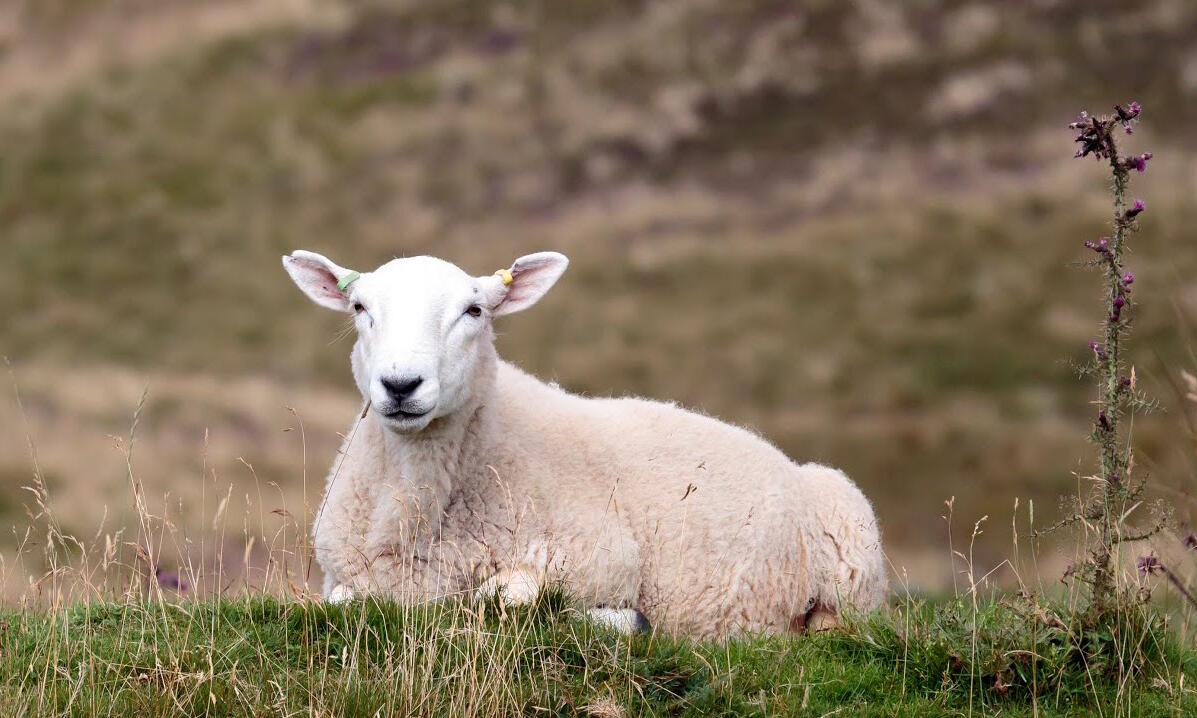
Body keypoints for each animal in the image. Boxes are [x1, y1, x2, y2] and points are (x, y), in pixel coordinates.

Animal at [282, 250, 886, 638]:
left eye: (474, 310)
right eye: (359, 308)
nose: (401, 385)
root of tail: (788, 461)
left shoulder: (602, 559)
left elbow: (502, 598)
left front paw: (625, 621)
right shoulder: (344, 577)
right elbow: (343, 601)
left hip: (852, 561)